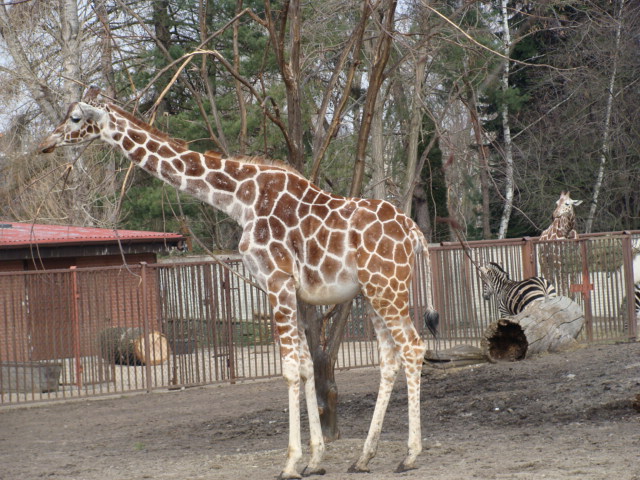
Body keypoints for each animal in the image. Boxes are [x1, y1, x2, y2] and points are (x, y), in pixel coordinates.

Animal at [39, 88, 439, 478]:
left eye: (75, 117)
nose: (46, 143)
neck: (240, 200)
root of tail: (415, 232)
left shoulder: (276, 281)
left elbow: (289, 369)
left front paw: (290, 464)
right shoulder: (290, 291)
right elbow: (306, 366)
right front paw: (315, 461)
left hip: (387, 288)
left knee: (413, 347)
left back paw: (410, 456)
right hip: (372, 293)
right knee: (389, 359)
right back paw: (364, 458)